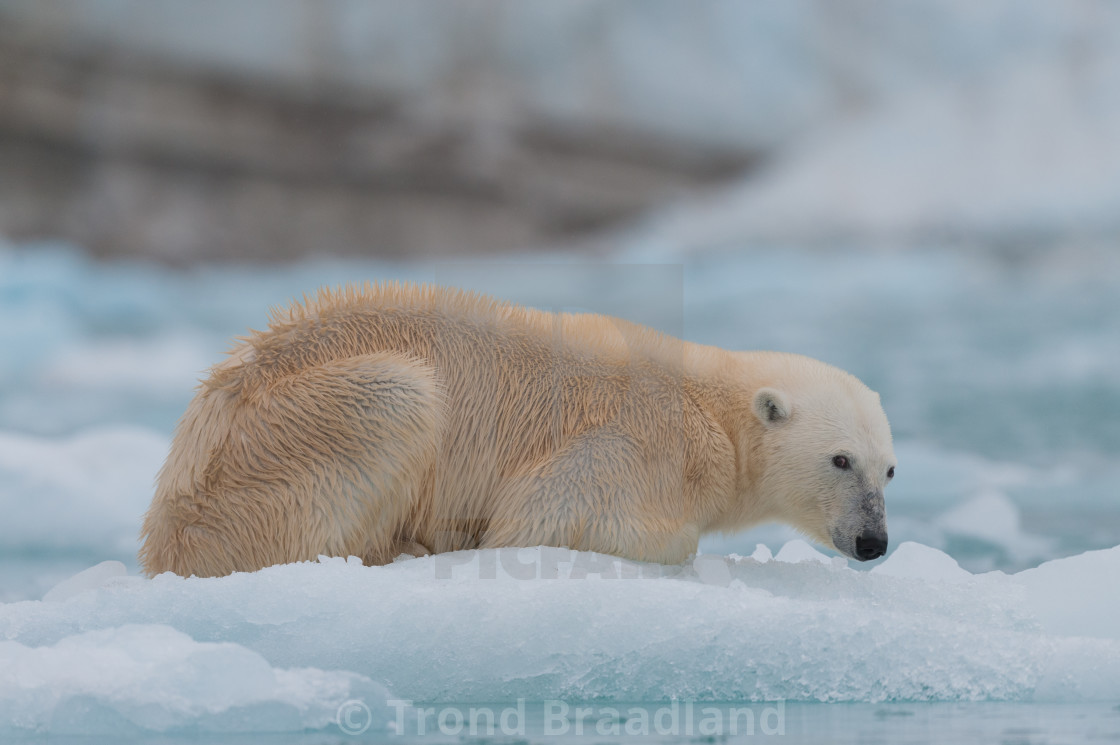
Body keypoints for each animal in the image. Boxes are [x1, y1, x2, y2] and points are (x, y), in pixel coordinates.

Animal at [140, 282, 896, 578]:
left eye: (889, 468)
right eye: (840, 459)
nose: (874, 541)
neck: (714, 405)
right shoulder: (643, 443)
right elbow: (551, 518)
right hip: (274, 447)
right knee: (396, 397)